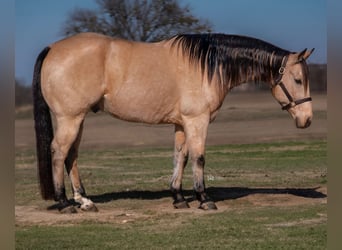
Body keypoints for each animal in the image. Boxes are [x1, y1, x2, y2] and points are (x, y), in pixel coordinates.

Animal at [33, 32, 314, 213]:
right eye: (298, 79)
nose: (308, 119)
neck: (207, 66)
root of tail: (52, 48)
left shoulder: (182, 124)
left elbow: (181, 157)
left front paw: (178, 198)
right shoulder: (198, 121)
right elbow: (199, 158)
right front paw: (203, 199)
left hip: (78, 119)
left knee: (71, 156)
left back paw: (85, 201)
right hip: (69, 119)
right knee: (58, 152)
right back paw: (65, 203)